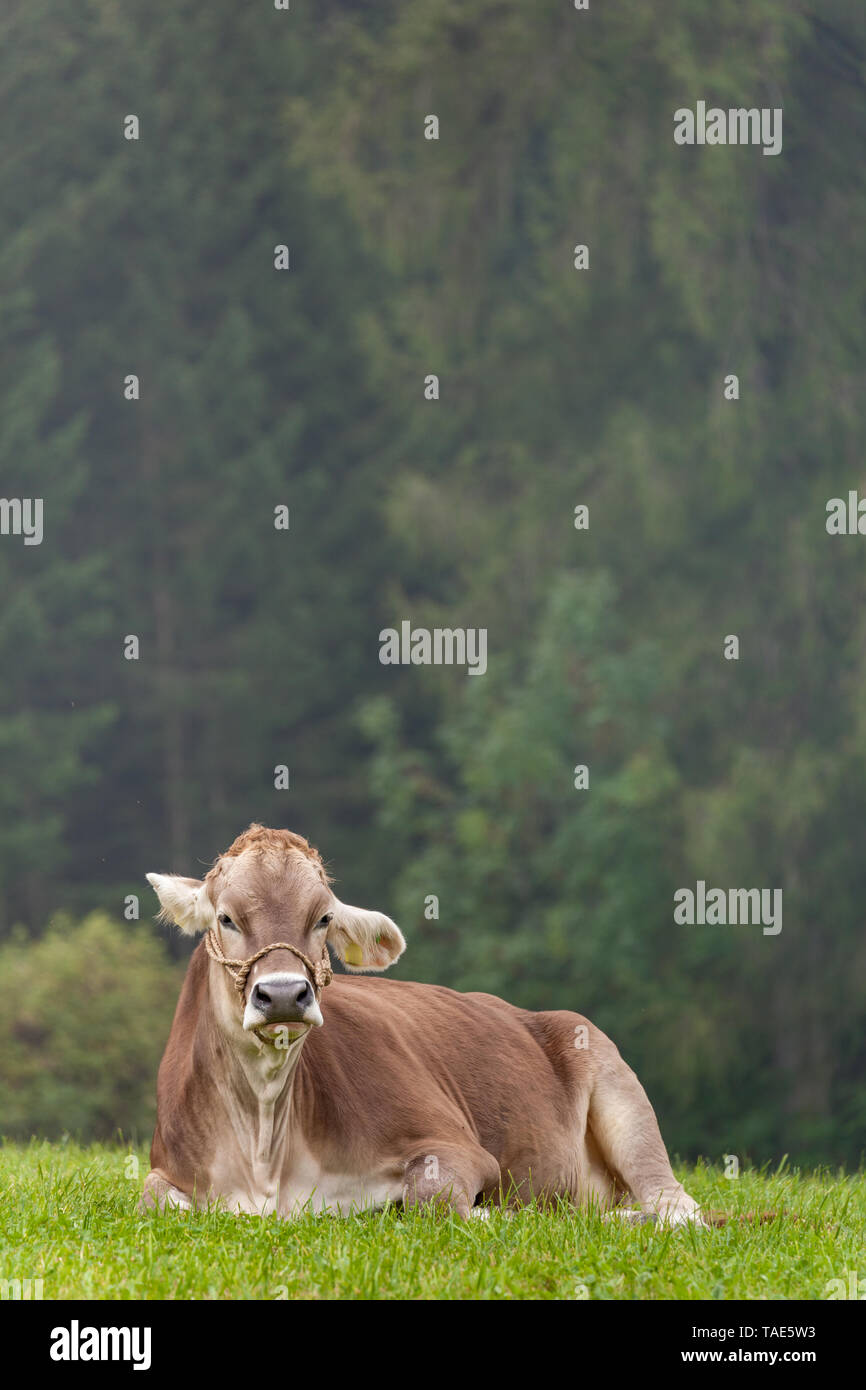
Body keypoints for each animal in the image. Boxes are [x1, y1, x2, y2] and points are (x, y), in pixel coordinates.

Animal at [141, 823, 704, 1225]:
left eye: (322, 918)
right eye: (226, 918)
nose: (283, 994)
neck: (266, 1152)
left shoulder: (455, 1146)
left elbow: (430, 1197)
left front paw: (496, 1216)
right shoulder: (167, 1167)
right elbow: (153, 1201)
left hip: (617, 1086)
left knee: (676, 1205)